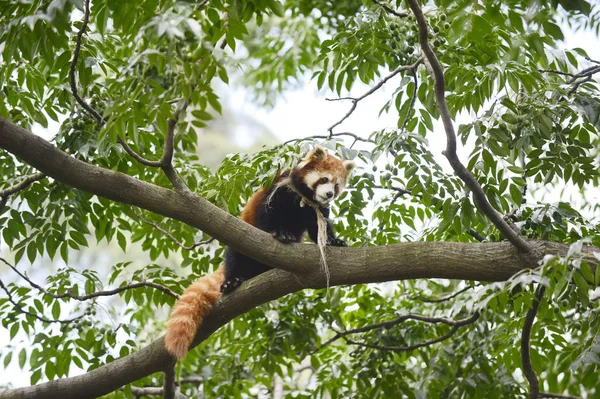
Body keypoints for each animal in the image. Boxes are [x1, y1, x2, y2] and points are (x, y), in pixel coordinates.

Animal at [164, 146, 354, 360]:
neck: (304, 197)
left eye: (336, 185)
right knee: (233, 256)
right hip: (239, 242)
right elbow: (268, 218)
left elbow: (318, 228)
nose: (329, 194)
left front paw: (334, 241)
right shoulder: (278, 191)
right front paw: (281, 233)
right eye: (324, 179)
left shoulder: (316, 209)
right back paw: (231, 282)